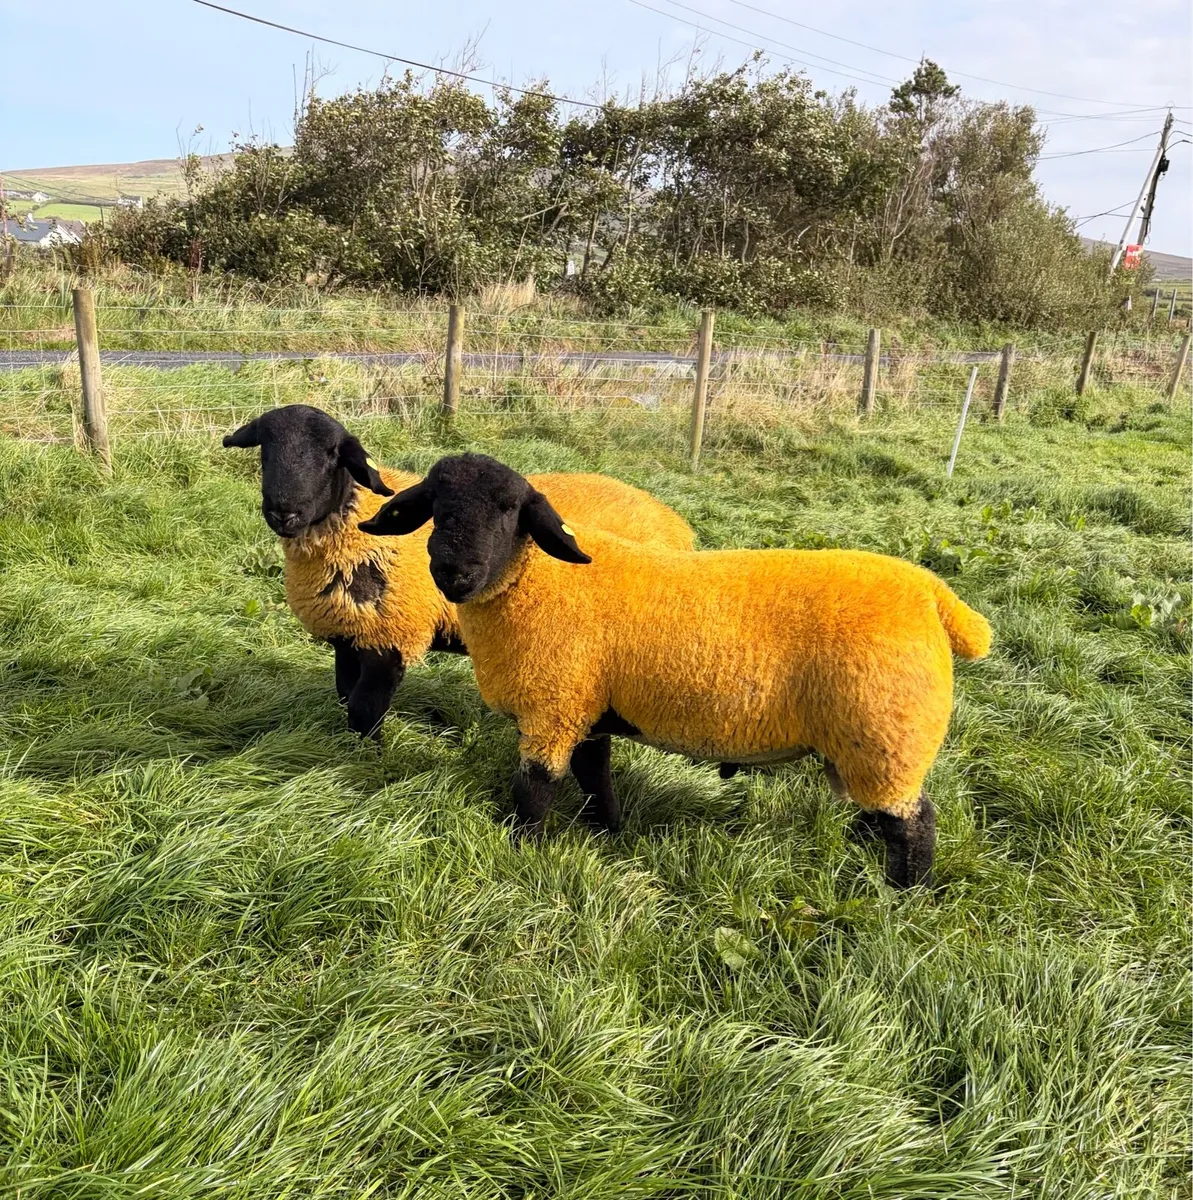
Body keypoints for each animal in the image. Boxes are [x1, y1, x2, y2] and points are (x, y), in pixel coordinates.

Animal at [222, 406, 695, 738]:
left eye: (332, 454)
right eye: (265, 448)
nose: (284, 513)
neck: (353, 528)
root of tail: (677, 523)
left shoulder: (393, 636)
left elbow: (364, 708)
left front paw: (367, 761)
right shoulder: (349, 634)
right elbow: (344, 697)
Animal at [359, 452, 993, 888]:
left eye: (511, 510)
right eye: (435, 507)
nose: (453, 573)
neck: (537, 582)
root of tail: (932, 595)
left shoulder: (553, 709)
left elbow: (535, 790)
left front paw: (521, 850)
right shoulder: (585, 707)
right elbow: (595, 774)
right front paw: (608, 832)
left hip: (887, 732)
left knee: (914, 824)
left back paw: (903, 894)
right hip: (871, 744)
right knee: (884, 813)